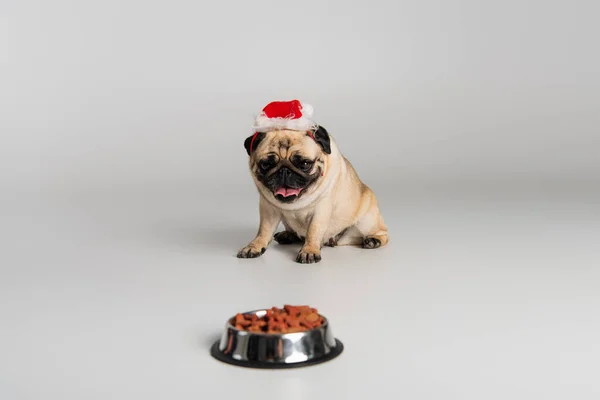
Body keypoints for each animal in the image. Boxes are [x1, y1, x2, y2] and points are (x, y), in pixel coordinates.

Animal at [237, 99, 386, 262]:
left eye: (304, 164)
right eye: (266, 165)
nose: (284, 171)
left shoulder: (321, 210)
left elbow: (313, 231)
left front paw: (309, 250)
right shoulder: (268, 209)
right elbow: (263, 230)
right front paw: (254, 246)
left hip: (367, 221)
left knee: (382, 233)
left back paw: (373, 240)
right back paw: (288, 235)